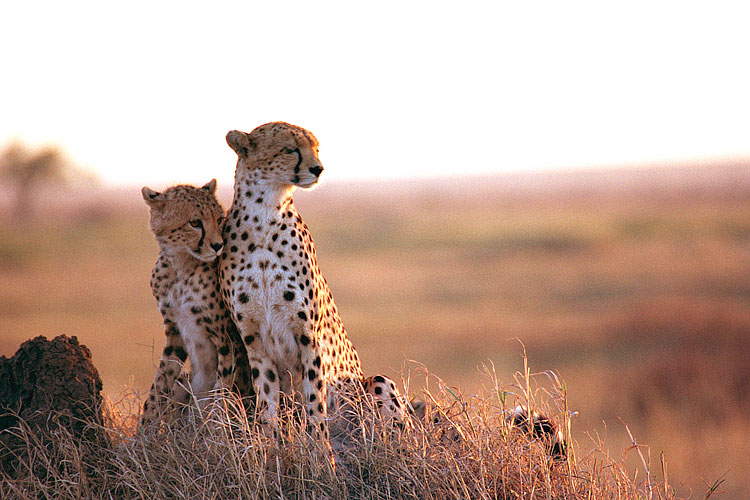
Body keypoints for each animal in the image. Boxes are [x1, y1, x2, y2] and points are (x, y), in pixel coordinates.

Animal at [220, 122, 408, 458]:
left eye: (316, 149)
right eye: (289, 149)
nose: (318, 168)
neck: (263, 216)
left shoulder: (309, 337)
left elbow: (314, 402)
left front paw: (321, 456)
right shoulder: (255, 342)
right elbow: (267, 404)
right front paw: (270, 450)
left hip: (373, 386)